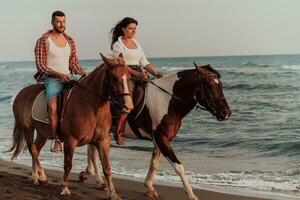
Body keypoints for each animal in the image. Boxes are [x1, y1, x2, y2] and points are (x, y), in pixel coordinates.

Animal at [7, 54, 134, 200]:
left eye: (128, 77)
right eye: (114, 78)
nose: (128, 106)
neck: (90, 106)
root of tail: (20, 93)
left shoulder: (103, 141)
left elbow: (107, 167)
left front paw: (113, 193)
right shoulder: (70, 141)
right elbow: (68, 165)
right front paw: (65, 189)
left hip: (42, 134)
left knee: (36, 150)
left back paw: (36, 178)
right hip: (27, 129)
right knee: (32, 150)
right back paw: (42, 176)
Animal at [79, 63, 232, 200]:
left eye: (221, 85)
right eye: (210, 85)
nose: (226, 113)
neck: (168, 101)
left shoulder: (160, 139)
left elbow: (154, 163)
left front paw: (149, 188)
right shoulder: (161, 137)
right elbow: (178, 166)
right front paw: (191, 194)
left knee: (92, 151)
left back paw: (92, 177)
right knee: (93, 153)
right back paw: (97, 180)